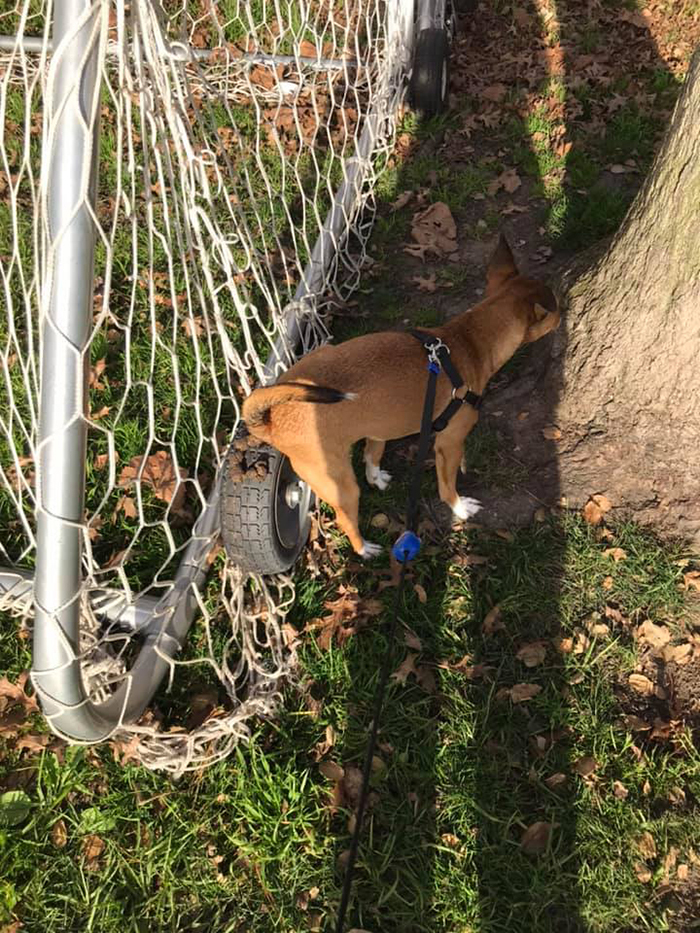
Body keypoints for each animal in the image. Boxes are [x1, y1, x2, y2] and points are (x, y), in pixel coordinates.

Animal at [243, 237, 560, 556]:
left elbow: (372, 454)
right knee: (346, 519)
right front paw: (459, 507)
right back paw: (364, 548)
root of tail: (272, 418)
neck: (469, 339)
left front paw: (376, 476)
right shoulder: (449, 442)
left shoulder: (378, 427)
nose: (563, 313)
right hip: (339, 485)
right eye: (556, 308)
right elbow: (447, 484)